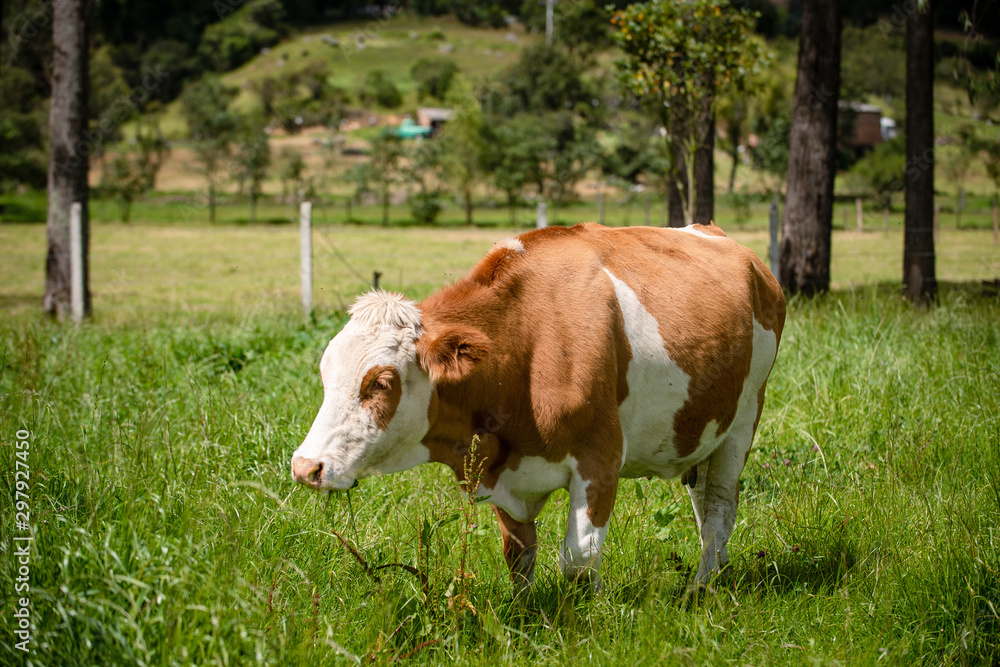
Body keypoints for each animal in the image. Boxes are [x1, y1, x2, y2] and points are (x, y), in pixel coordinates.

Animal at [292, 223, 784, 588]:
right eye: (325, 375)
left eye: (381, 382)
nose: (305, 467)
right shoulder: (499, 474)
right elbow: (519, 556)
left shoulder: (600, 459)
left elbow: (578, 561)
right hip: (701, 430)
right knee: (704, 503)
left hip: (742, 422)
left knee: (719, 506)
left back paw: (701, 586)